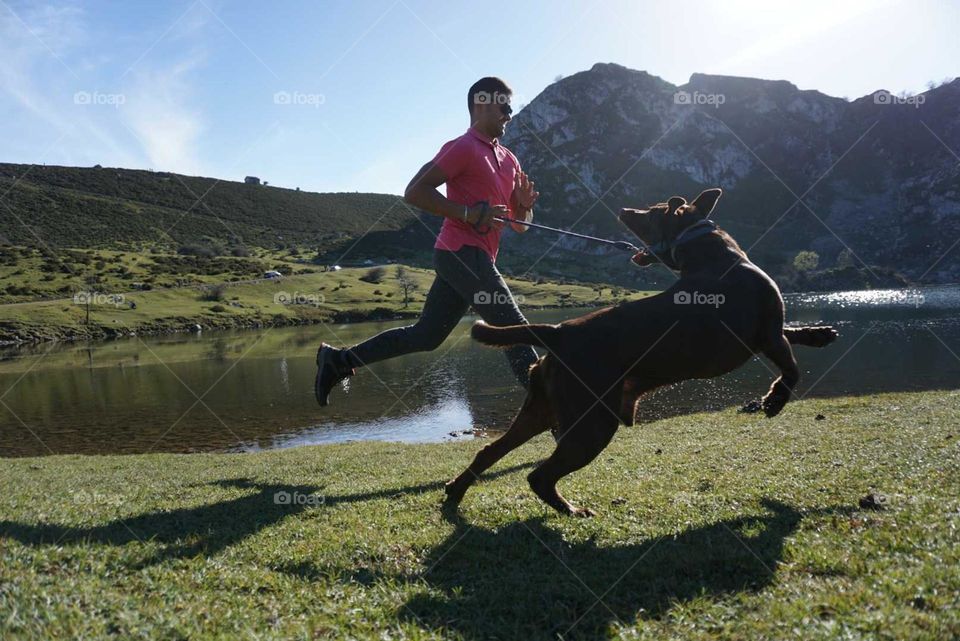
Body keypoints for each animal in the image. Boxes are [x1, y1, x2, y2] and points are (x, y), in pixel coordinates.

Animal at [446, 189, 836, 516]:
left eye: (649, 211)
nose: (622, 210)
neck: (714, 256)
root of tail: (558, 332)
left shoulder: (767, 334)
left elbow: (793, 333)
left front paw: (817, 334)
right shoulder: (767, 334)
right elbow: (791, 368)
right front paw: (775, 400)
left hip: (540, 410)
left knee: (489, 451)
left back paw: (455, 492)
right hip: (593, 423)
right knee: (539, 476)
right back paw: (570, 510)